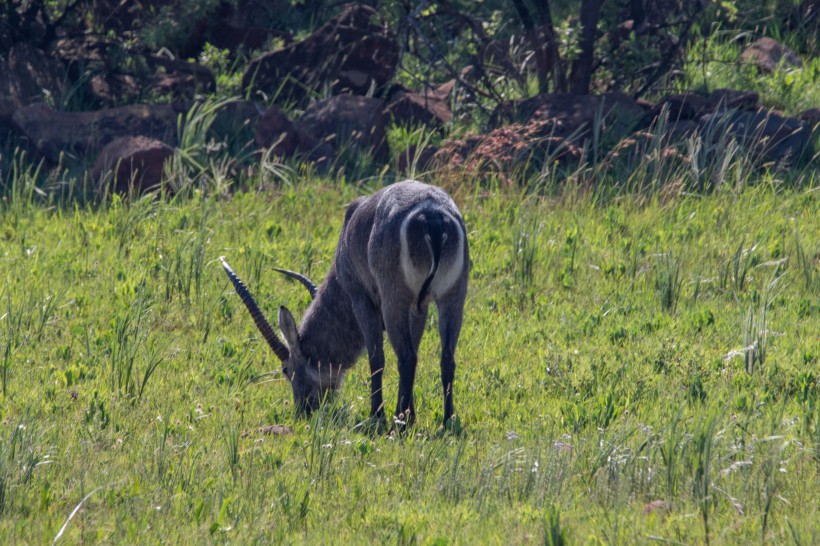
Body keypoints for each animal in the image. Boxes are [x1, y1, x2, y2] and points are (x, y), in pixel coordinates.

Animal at [221, 181, 468, 428]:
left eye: (285, 369)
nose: (303, 411)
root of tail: (431, 215)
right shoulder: (419, 307)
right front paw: (411, 415)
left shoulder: (360, 299)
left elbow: (376, 358)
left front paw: (379, 416)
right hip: (453, 297)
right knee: (446, 358)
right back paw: (447, 420)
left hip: (394, 299)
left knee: (406, 357)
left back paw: (398, 425)